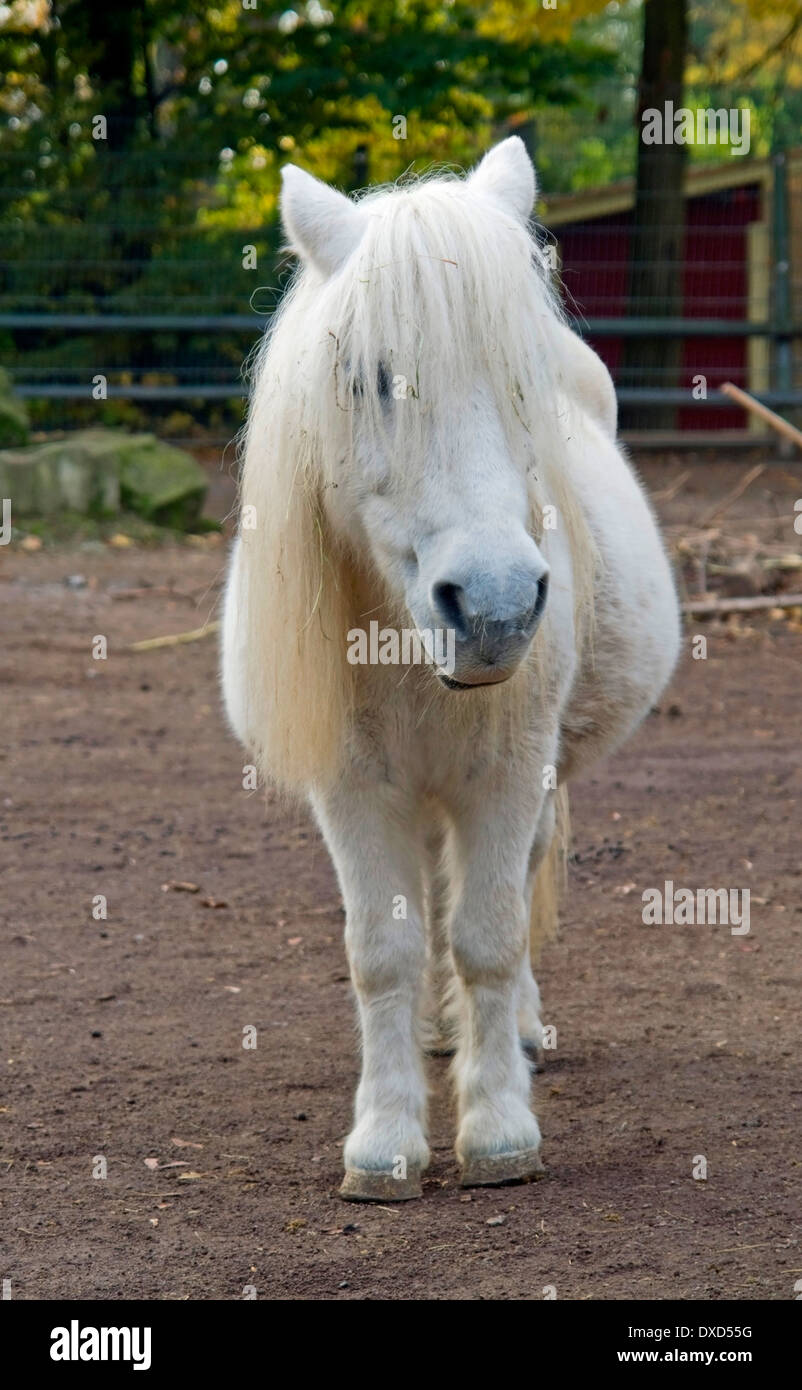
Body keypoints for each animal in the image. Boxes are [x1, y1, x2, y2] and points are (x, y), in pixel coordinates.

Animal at [222, 143, 678, 1206]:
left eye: (521, 380)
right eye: (367, 380)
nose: (498, 605)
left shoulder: (508, 774)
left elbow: (490, 936)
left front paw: (501, 1130)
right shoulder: (354, 788)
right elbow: (383, 952)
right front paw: (385, 1141)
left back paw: (512, 1032)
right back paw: (440, 1034)